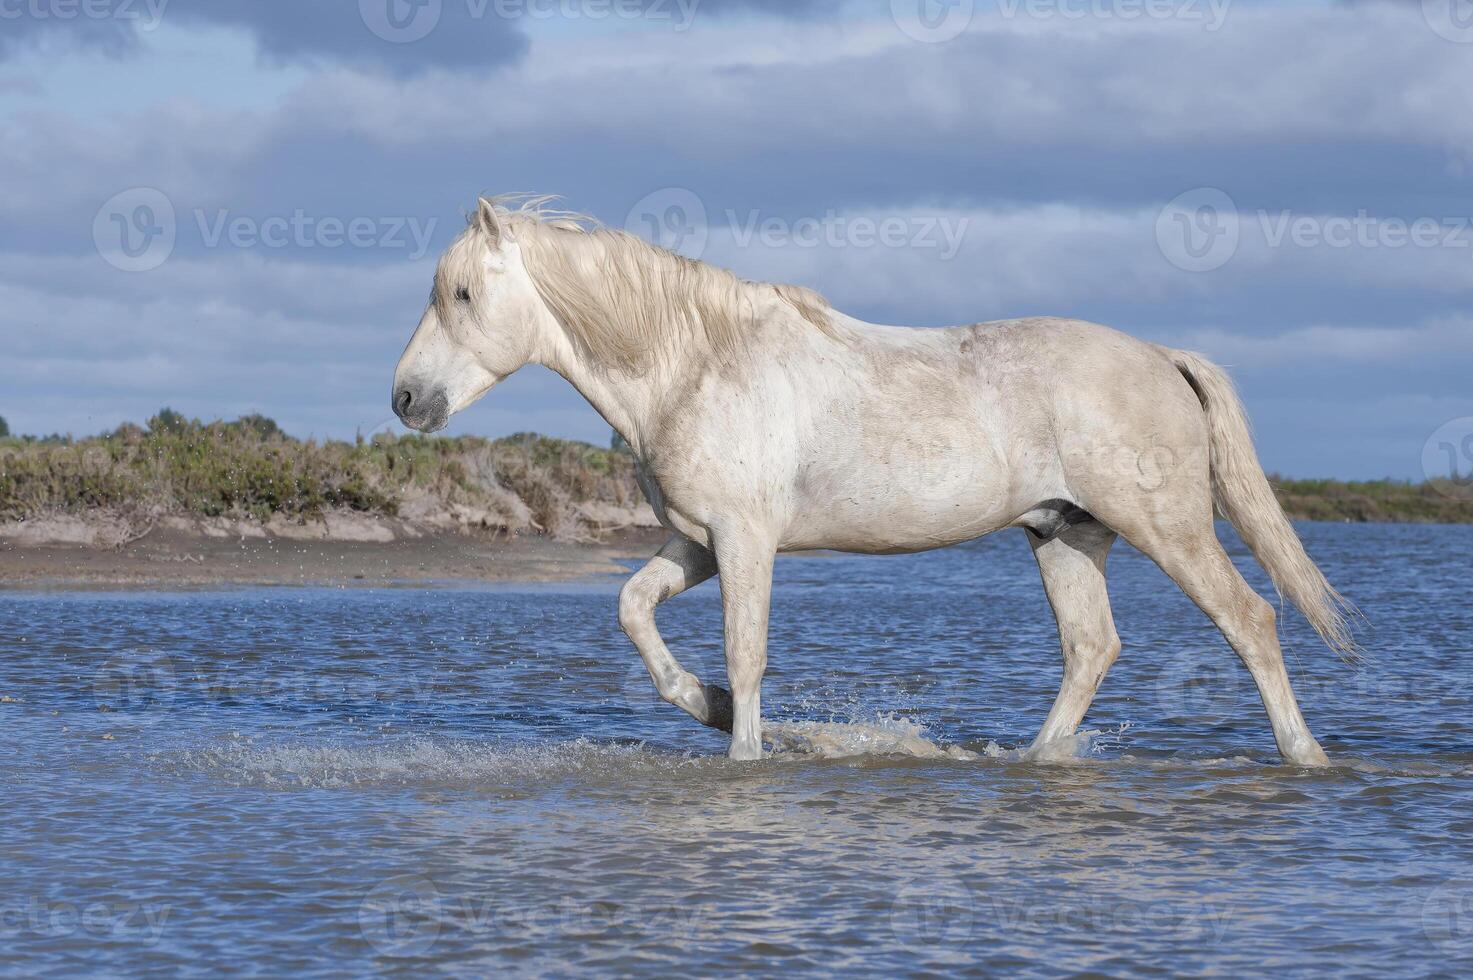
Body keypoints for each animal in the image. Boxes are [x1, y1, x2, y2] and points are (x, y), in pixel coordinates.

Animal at [394, 197, 1355, 766]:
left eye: (464, 294)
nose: (405, 398)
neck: (695, 364)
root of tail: (1161, 356)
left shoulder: (746, 543)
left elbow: (746, 656)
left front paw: (742, 752)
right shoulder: (697, 542)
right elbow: (634, 611)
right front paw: (706, 707)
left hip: (1169, 530)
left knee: (1249, 621)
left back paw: (1304, 758)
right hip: (1064, 533)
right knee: (1092, 650)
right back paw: (1029, 762)